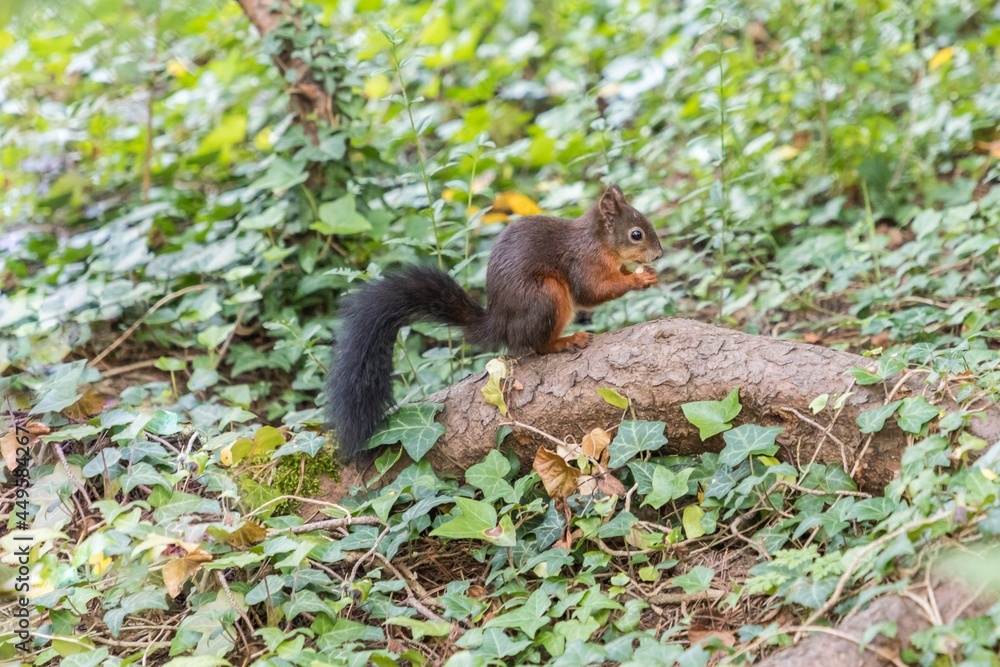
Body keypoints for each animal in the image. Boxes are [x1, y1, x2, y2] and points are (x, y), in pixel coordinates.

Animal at [326, 184, 664, 463]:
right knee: (538, 345)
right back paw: (566, 340)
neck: (598, 240)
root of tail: (500, 323)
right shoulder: (583, 263)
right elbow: (591, 292)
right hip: (546, 297)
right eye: (636, 234)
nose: (659, 255)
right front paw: (638, 279)